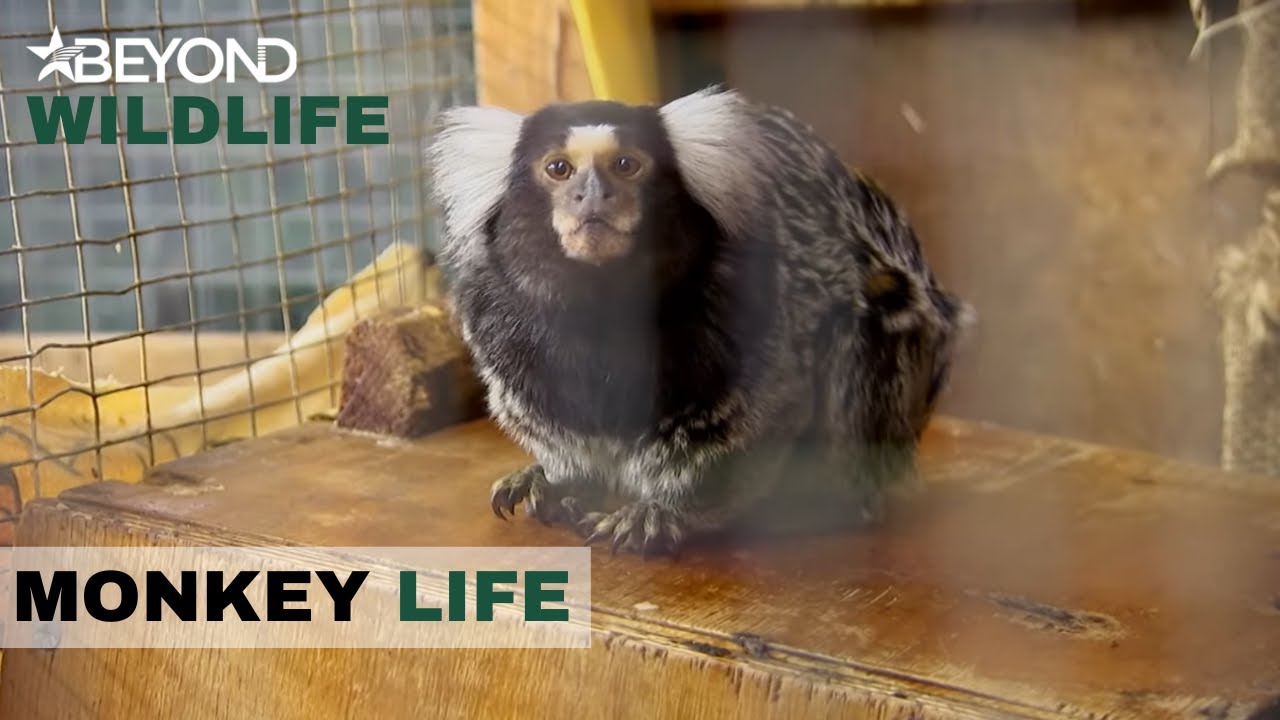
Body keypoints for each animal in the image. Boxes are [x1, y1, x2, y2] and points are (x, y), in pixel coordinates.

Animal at [426, 85, 971, 556]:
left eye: (626, 165)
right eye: (558, 169)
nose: (593, 196)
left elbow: (764, 417)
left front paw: (668, 512)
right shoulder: (498, 319)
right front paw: (559, 479)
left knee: (877, 311)